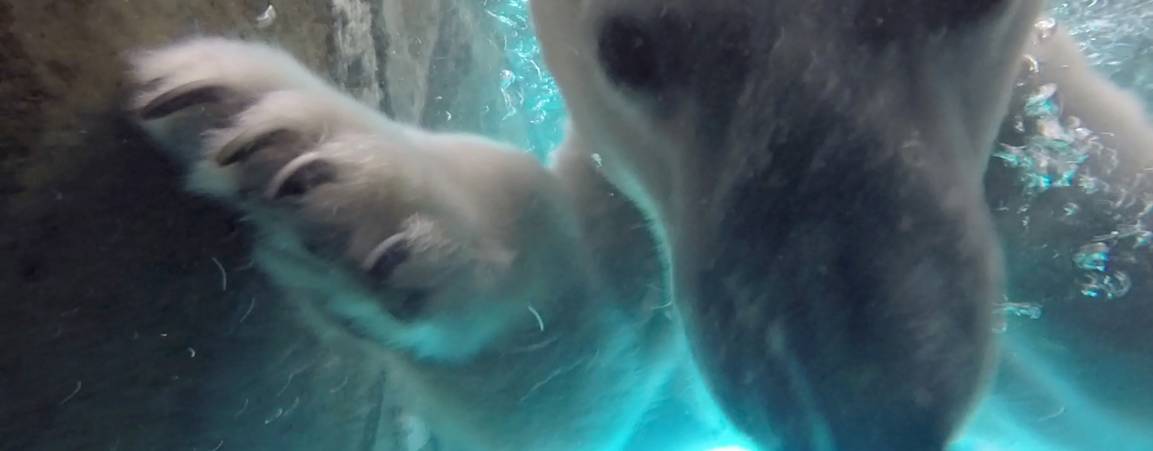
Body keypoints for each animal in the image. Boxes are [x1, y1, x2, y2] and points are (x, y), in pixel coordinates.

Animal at [128, 0, 1151, 450]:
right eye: (629, 44)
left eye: (962, 1)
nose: (863, 409)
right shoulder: (642, 205)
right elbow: (580, 381)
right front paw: (302, 154)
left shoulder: (1065, 168)